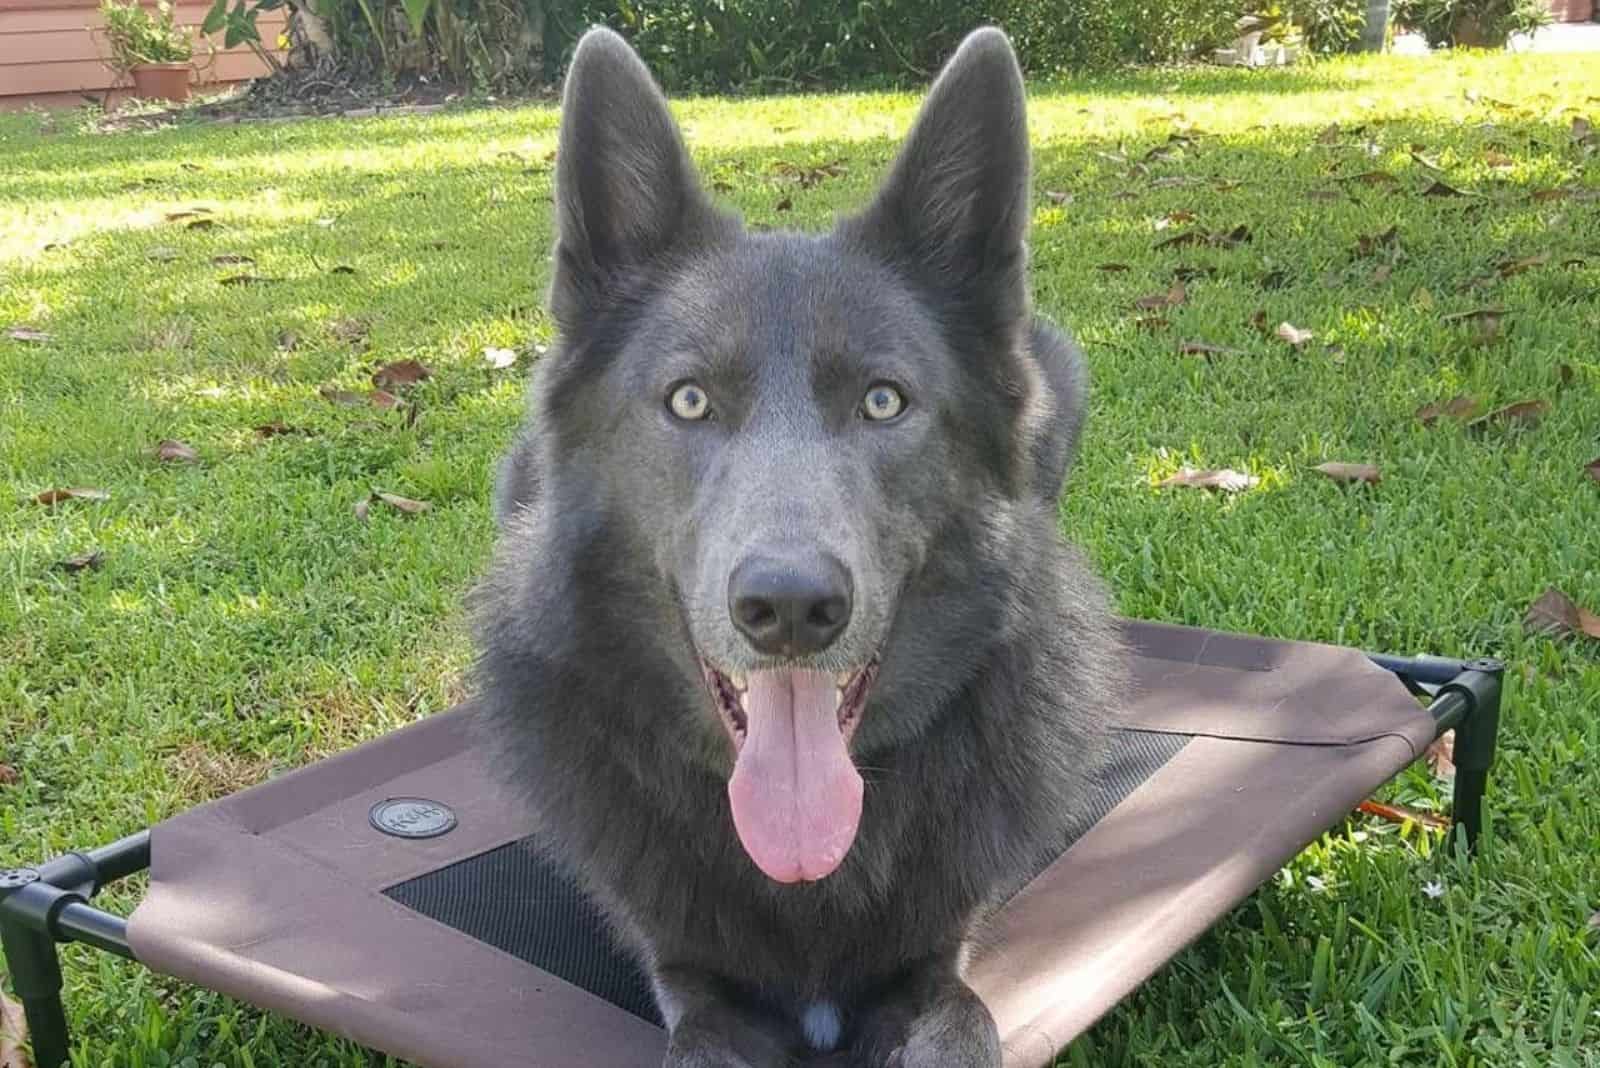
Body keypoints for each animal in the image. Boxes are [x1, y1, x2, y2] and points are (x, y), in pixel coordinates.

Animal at [473, 24, 1120, 1068]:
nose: (788, 609)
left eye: (884, 401)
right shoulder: (689, 977)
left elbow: (965, 1023)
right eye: (689, 399)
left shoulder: (941, 958)